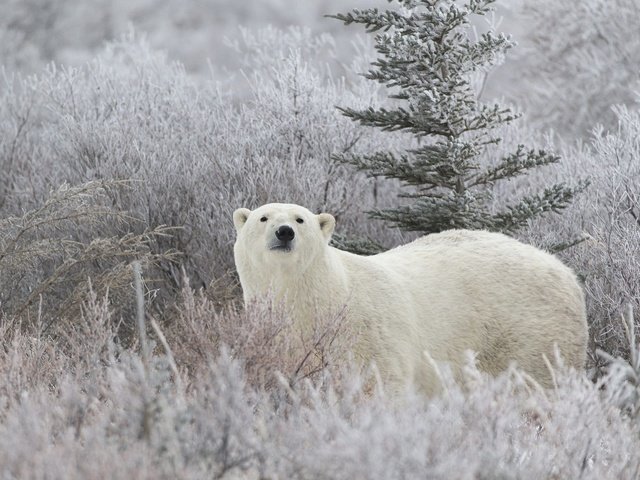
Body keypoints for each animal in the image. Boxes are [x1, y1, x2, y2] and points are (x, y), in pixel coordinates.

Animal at [232, 202, 588, 394]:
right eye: (263, 217)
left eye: (300, 219)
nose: (284, 232)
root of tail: (567, 273)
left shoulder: (370, 336)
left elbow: (378, 386)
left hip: (530, 334)